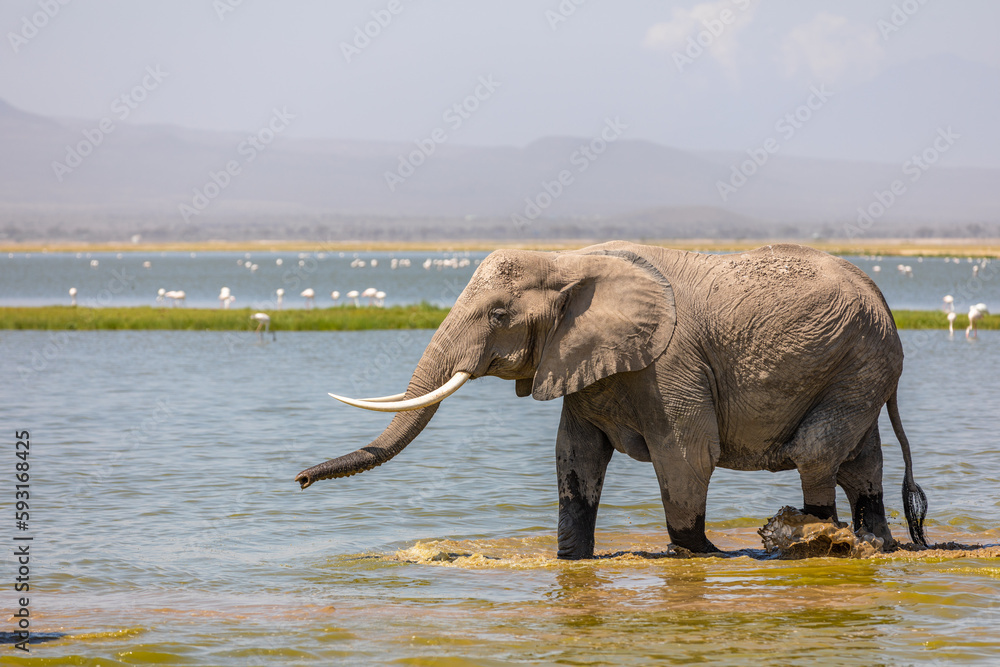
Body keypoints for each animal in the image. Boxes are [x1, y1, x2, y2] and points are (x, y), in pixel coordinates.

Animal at [296, 242, 928, 559]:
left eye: (498, 315)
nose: (299, 480)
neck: (567, 260)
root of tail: (883, 296)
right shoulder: (577, 362)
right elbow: (574, 460)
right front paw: (572, 561)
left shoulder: (670, 363)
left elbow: (687, 455)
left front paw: (703, 555)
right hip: (858, 363)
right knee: (861, 462)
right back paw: (874, 544)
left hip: (862, 360)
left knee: (816, 452)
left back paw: (810, 544)